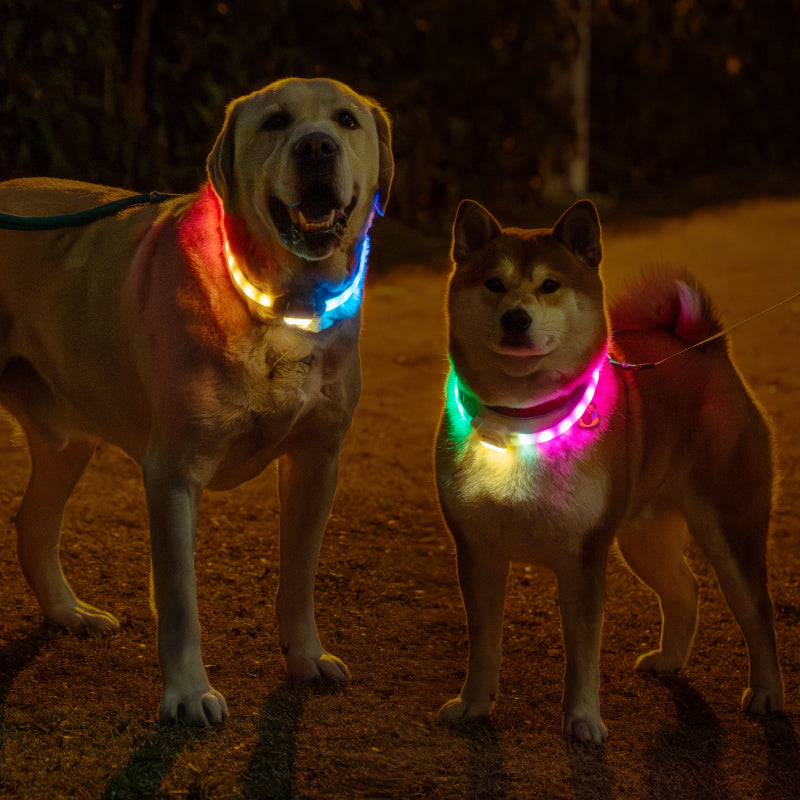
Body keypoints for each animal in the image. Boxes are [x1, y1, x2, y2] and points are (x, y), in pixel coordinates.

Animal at [0, 79, 394, 724]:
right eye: (276, 121)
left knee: (33, 522)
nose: (316, 147)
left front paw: (305, 658)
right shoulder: (172, 473)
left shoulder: (317, 462)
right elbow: (180, 600)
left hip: (67, 439)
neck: (281, 305)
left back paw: (68, 613)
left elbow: (299, 577)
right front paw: (187, 694)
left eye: (346, 120)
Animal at [434, 198, 784, 744]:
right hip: (641, 538)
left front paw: (582, 720)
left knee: (756, 610)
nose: (516, 318)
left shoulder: (582, 560)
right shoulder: (478, 551)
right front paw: (474, 704)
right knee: (685, 589)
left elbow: (582, 654)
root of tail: (707, 348)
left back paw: (767, 692)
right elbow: (484, 645)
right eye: (493, 283)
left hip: (731, 530)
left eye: (550, 285)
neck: (522, 422)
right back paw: (669, 660)